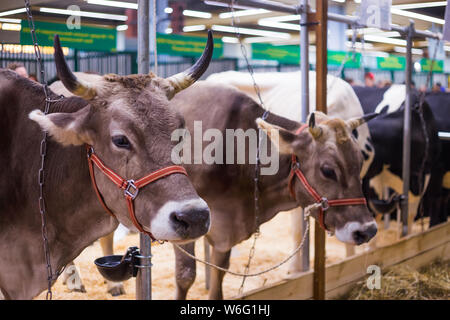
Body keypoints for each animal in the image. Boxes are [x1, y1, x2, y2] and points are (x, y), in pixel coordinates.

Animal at [171, 80, 378, 300]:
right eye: (328, 170)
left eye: (360, 161)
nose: (368, 230)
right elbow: (185, 275)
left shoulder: (223, 232)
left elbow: (219, 275)